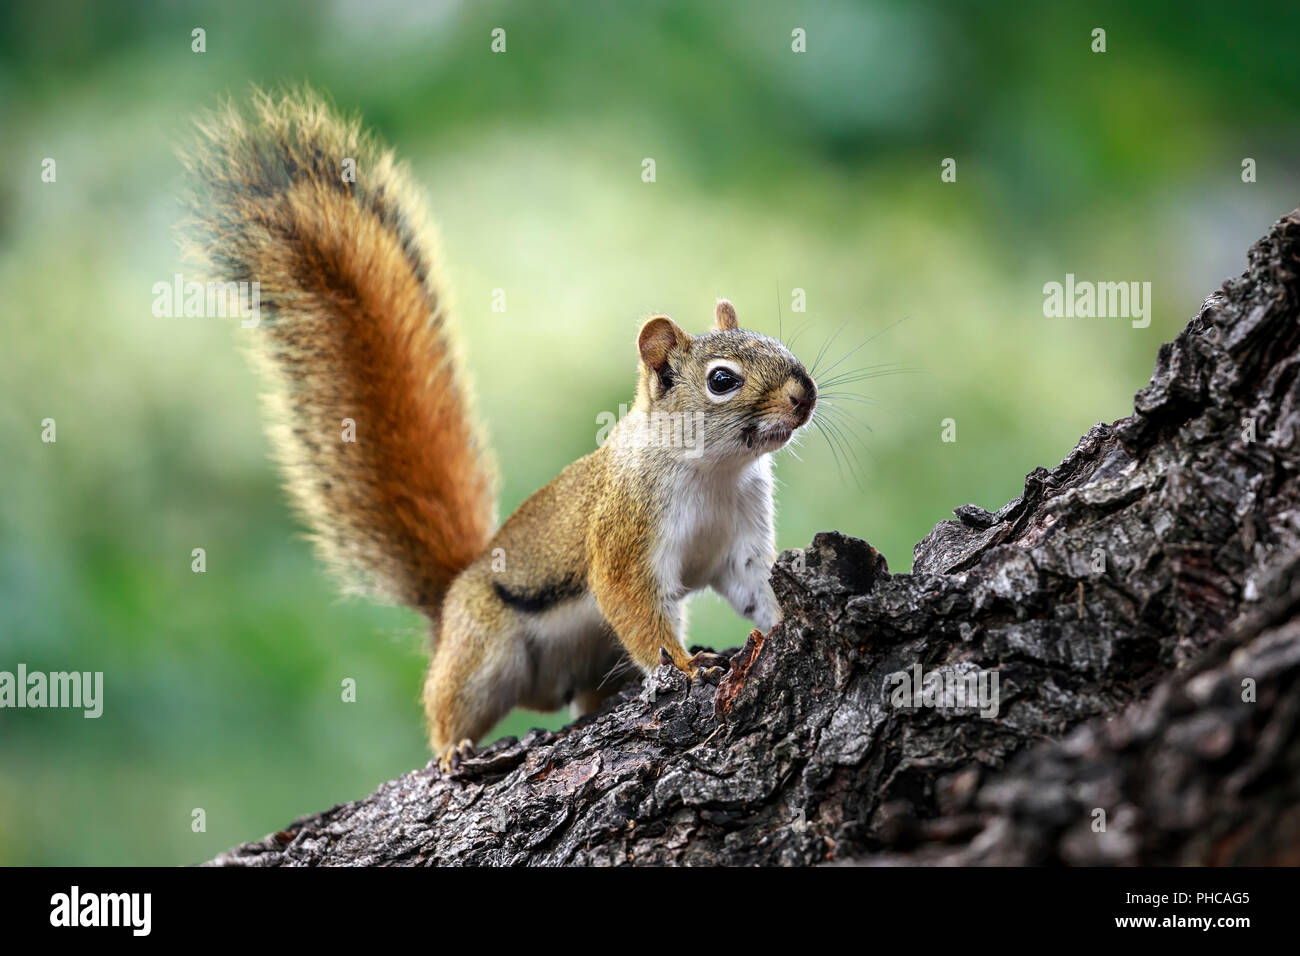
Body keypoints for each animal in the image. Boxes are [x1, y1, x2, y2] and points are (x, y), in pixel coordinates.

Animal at [179, 89, 816, 775]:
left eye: (778, 344)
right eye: (722, 380)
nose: (804, 396)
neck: (713, 469)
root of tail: (449, 600)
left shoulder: (740, 539)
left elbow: (755, 588)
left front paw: (780, 624)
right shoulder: (625, 528)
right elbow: (633, 605)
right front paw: (687, 668)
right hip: (484, 652)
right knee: (447, 703)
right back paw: (454, 748)